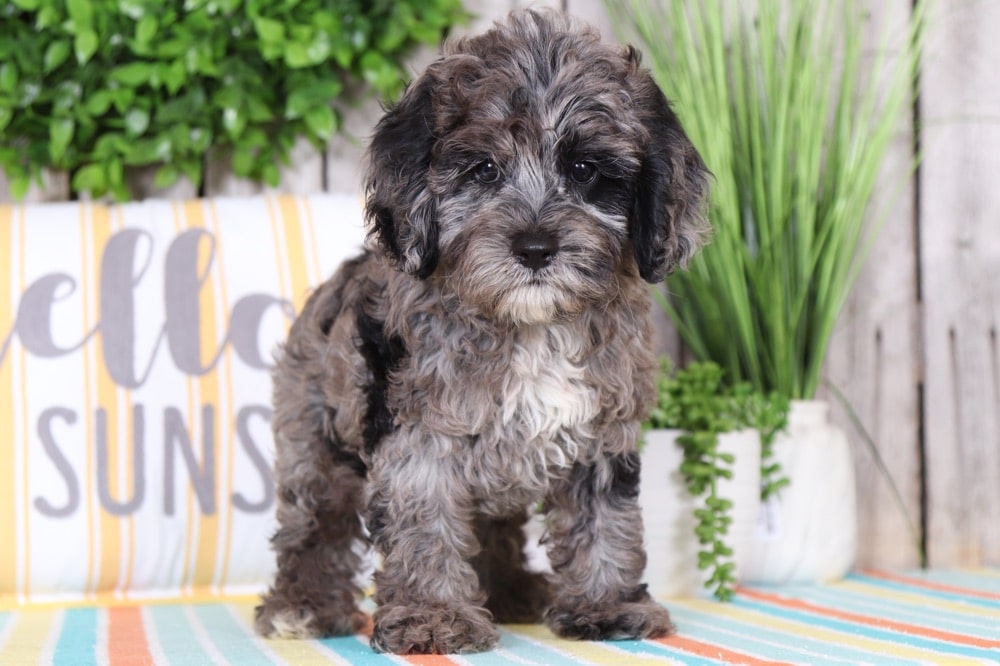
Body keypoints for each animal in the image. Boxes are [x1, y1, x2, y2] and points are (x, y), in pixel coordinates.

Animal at [258, 9, 712, 652]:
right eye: (483, 169)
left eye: (584, 170)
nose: (535, 248)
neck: (530, 325)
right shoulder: (418, 431)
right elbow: (426, 523)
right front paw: (432, 616)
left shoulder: (602, 427)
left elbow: (605, 515)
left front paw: (607, 604)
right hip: (316, 431)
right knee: (315, 523)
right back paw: (302, 604)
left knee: (495, 527)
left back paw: (513, 592)